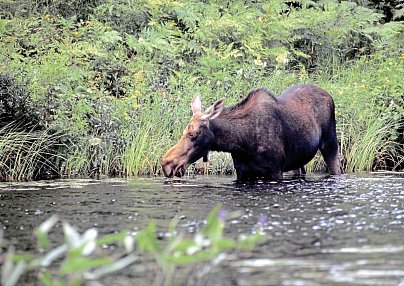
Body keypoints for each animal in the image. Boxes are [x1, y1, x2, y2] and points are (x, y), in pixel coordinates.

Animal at [161, 84, 340, 180]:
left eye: (192, 134)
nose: (166, 164)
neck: (241, 142)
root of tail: (328, 95)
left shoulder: (276, 169)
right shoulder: (242, 172)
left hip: (331, 144)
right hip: (298, 160)